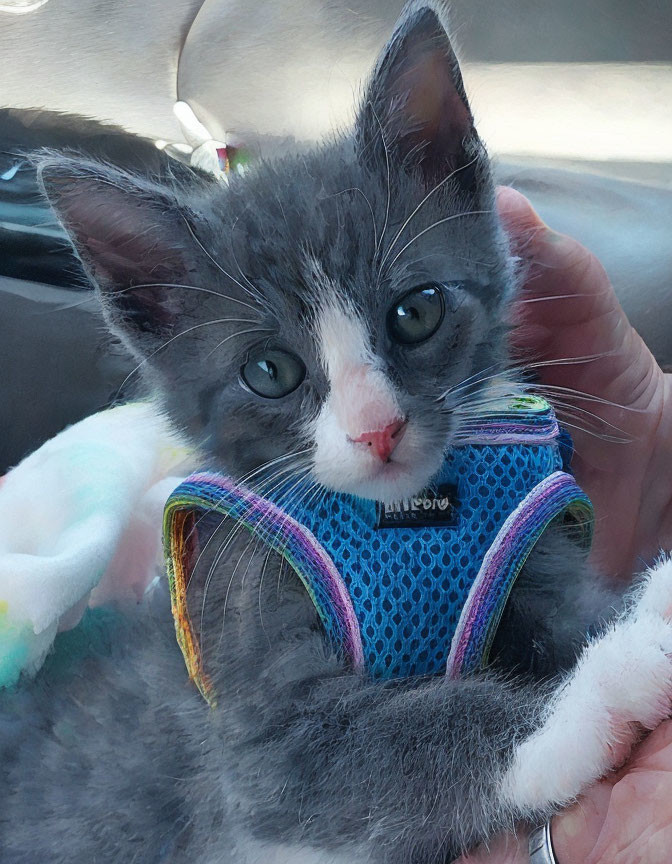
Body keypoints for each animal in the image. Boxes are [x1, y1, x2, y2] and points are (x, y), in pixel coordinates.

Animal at [3, 1, 672, 864]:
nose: (375, 427)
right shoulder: (254, 697)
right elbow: (396, 740)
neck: (401, 521)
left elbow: (569, 614)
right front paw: (605, 685)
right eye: (269, 371)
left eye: (416, 312)